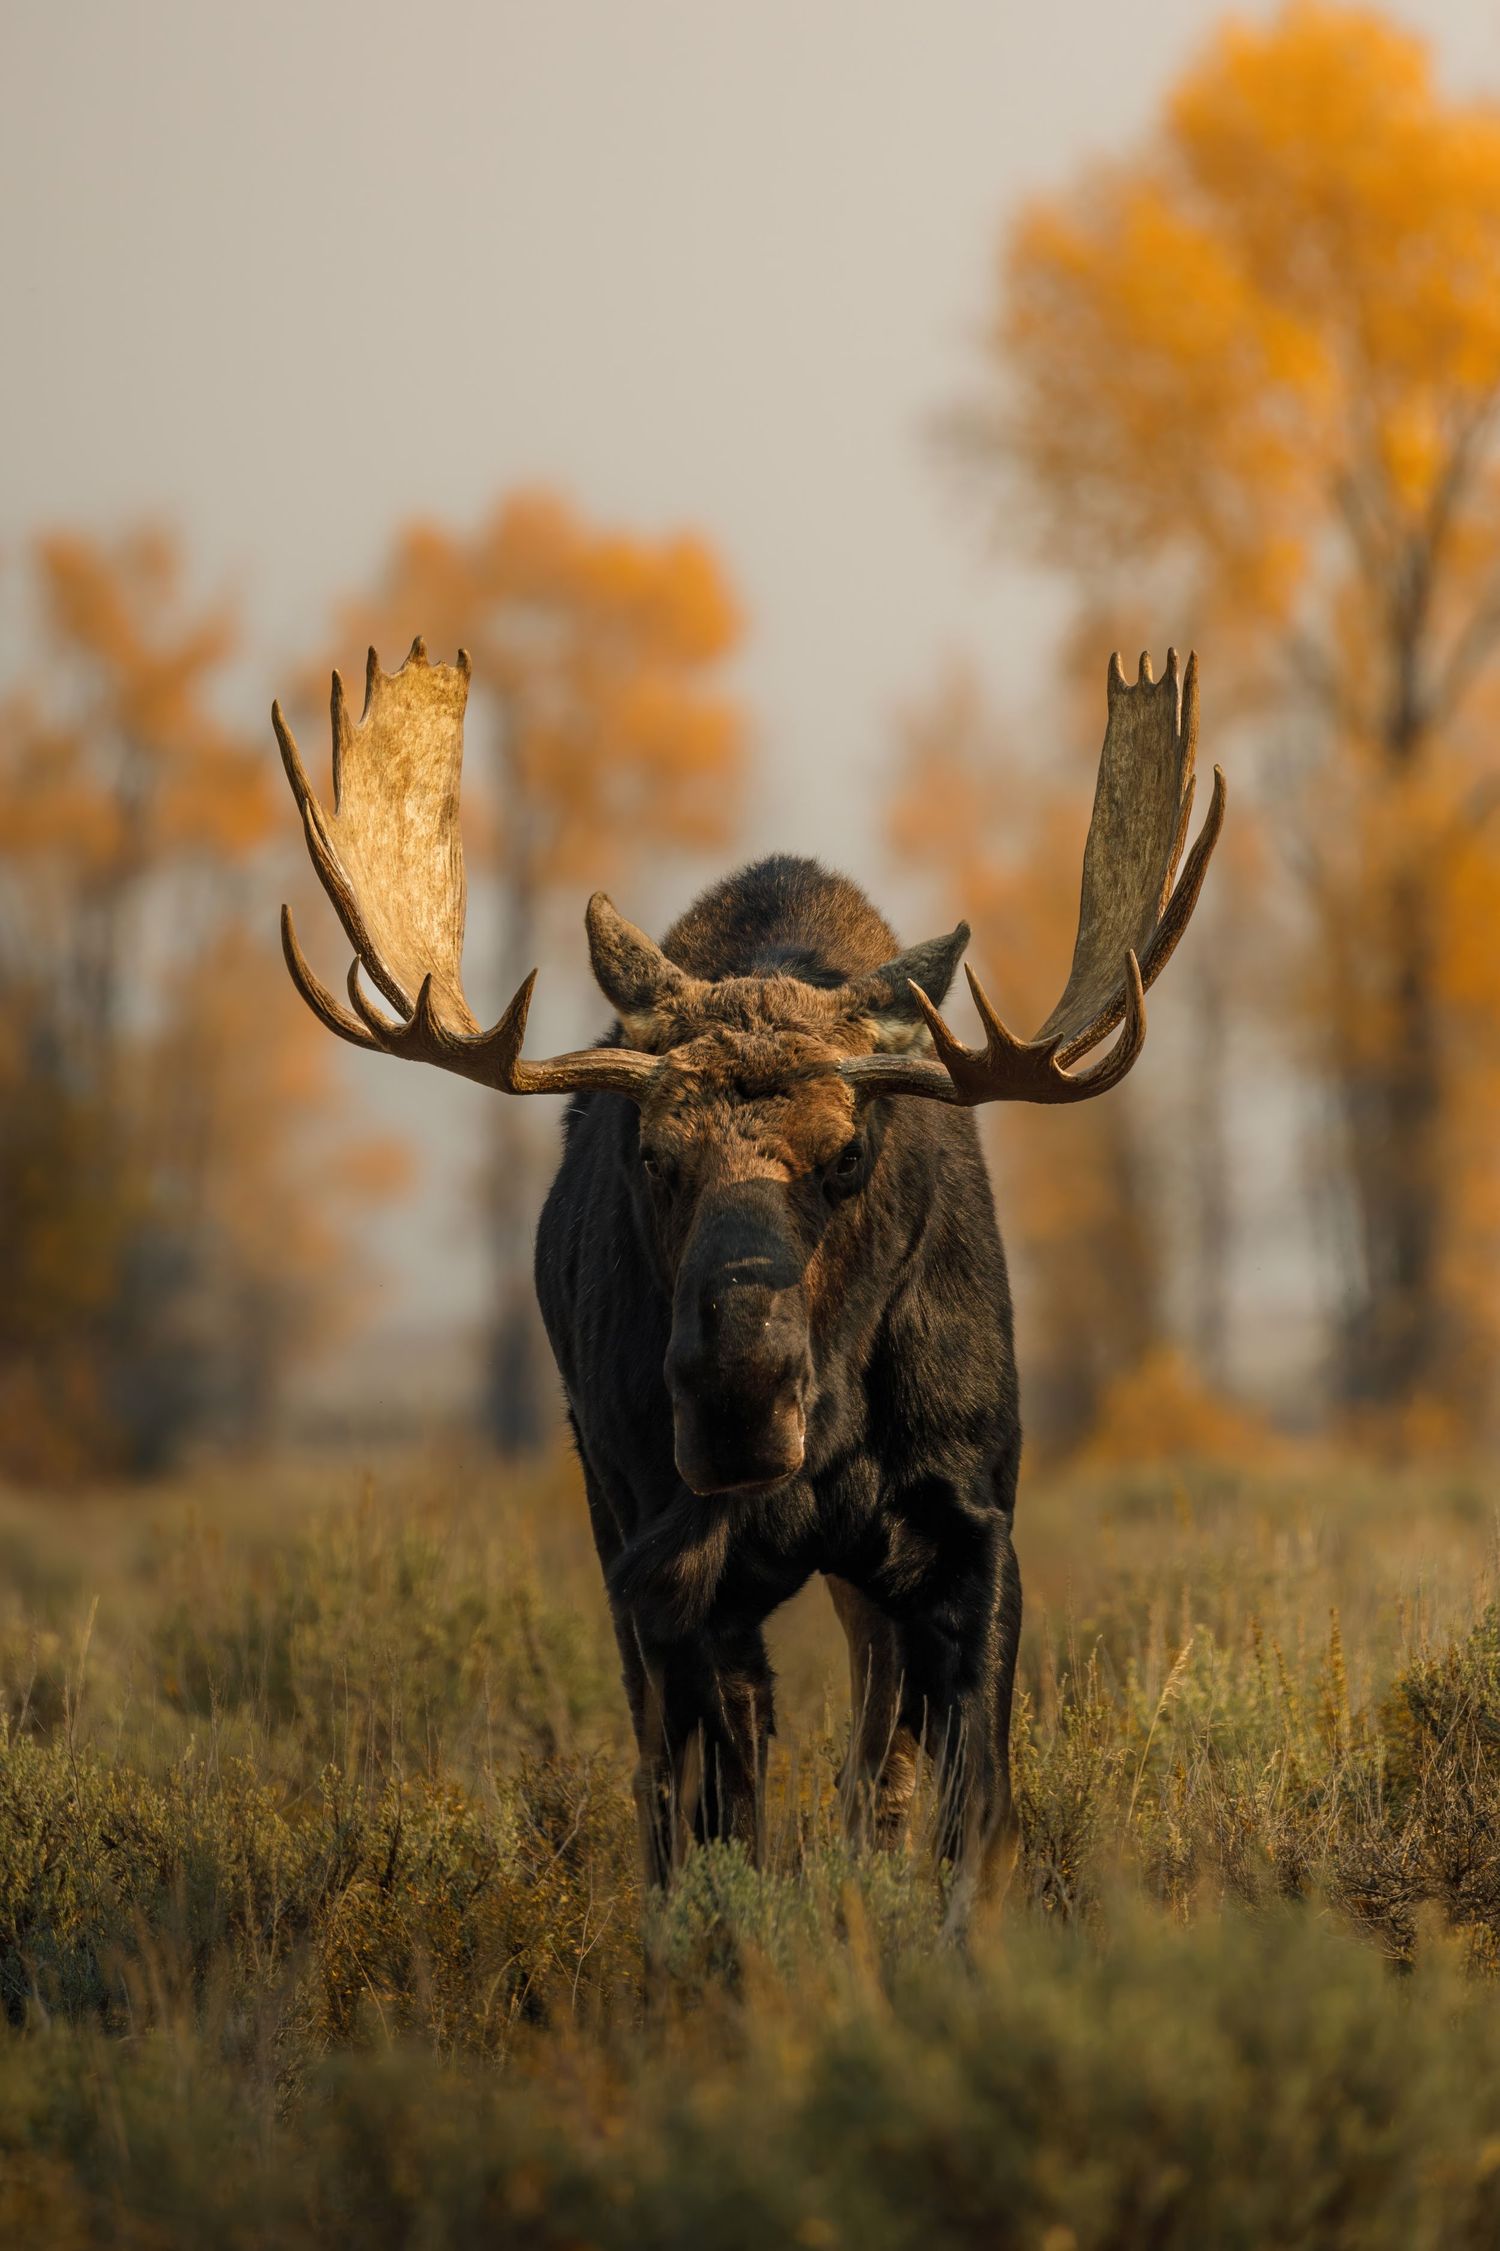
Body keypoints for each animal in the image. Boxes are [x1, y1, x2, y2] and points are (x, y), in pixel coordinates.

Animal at [274, 640, 1223, 1930]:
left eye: (850, 1154)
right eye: (650, 1152)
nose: (737, 1393)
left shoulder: (972, 1530)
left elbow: (968, 1818)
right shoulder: (679, 1570)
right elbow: (726, 1827)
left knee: (873, 1748)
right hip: (612, 1517)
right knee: (662, 1771)